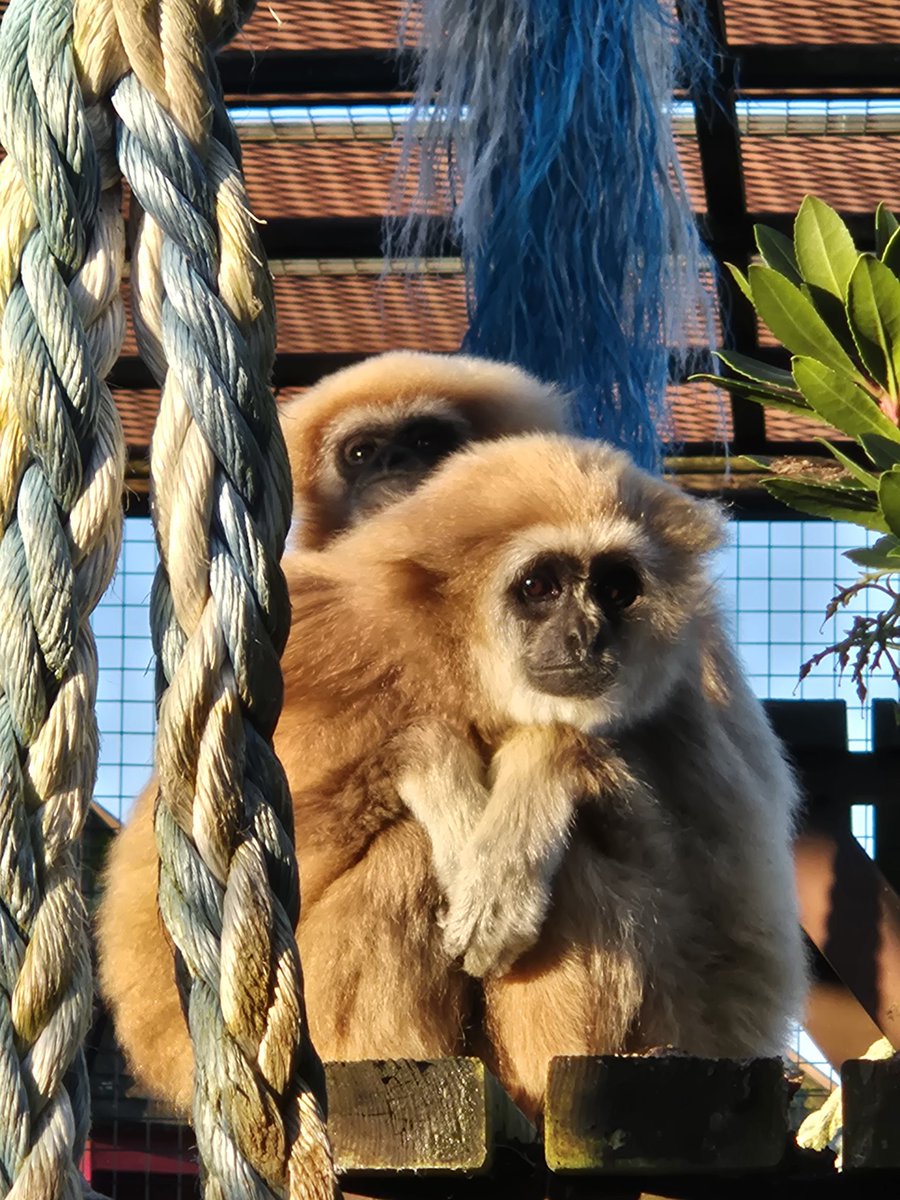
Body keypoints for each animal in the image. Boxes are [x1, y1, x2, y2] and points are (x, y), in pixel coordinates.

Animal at [98, 430, 807, 1120]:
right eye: (540, 587)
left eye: (615, 588)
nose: (587, 634)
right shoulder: (322, 636)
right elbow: (161, 956)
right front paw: (451, 788)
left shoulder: (699, 679)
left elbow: (741, 959)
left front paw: (525, 801)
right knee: (409, 853)